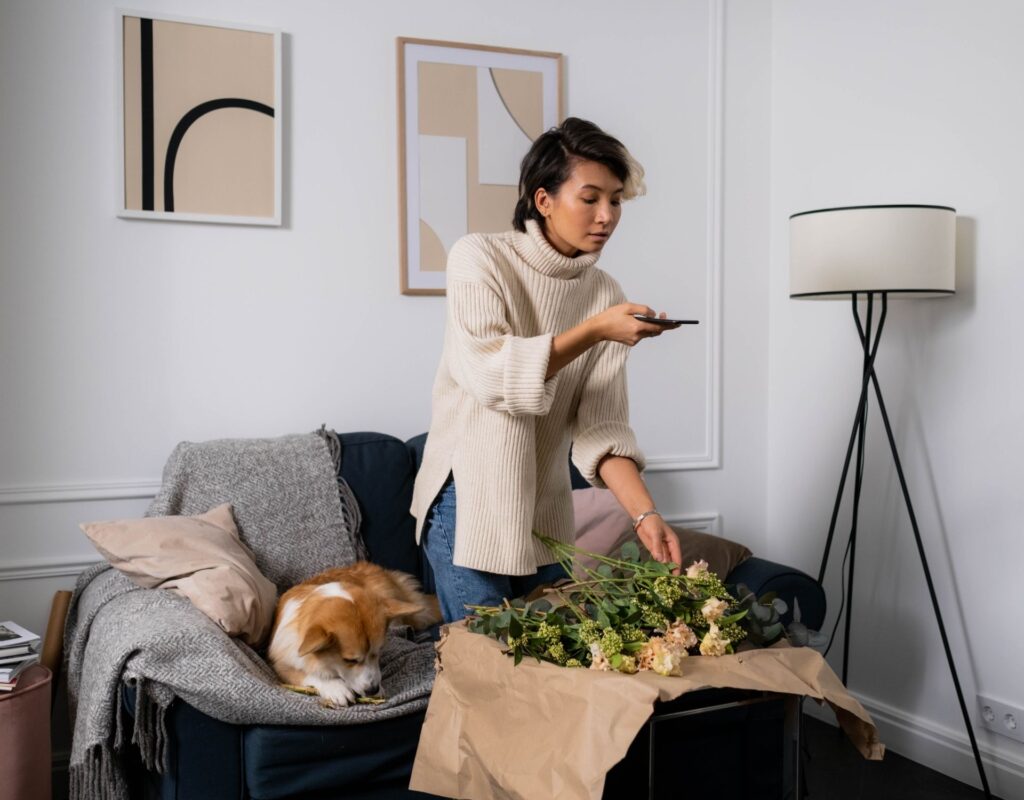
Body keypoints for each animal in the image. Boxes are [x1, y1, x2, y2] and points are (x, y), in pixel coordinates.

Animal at [268, 561, 440, 704]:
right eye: (349, 660)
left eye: (379, 651)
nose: (373, 690)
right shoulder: (281, 666)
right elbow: (308, 674)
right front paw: (335, 687)